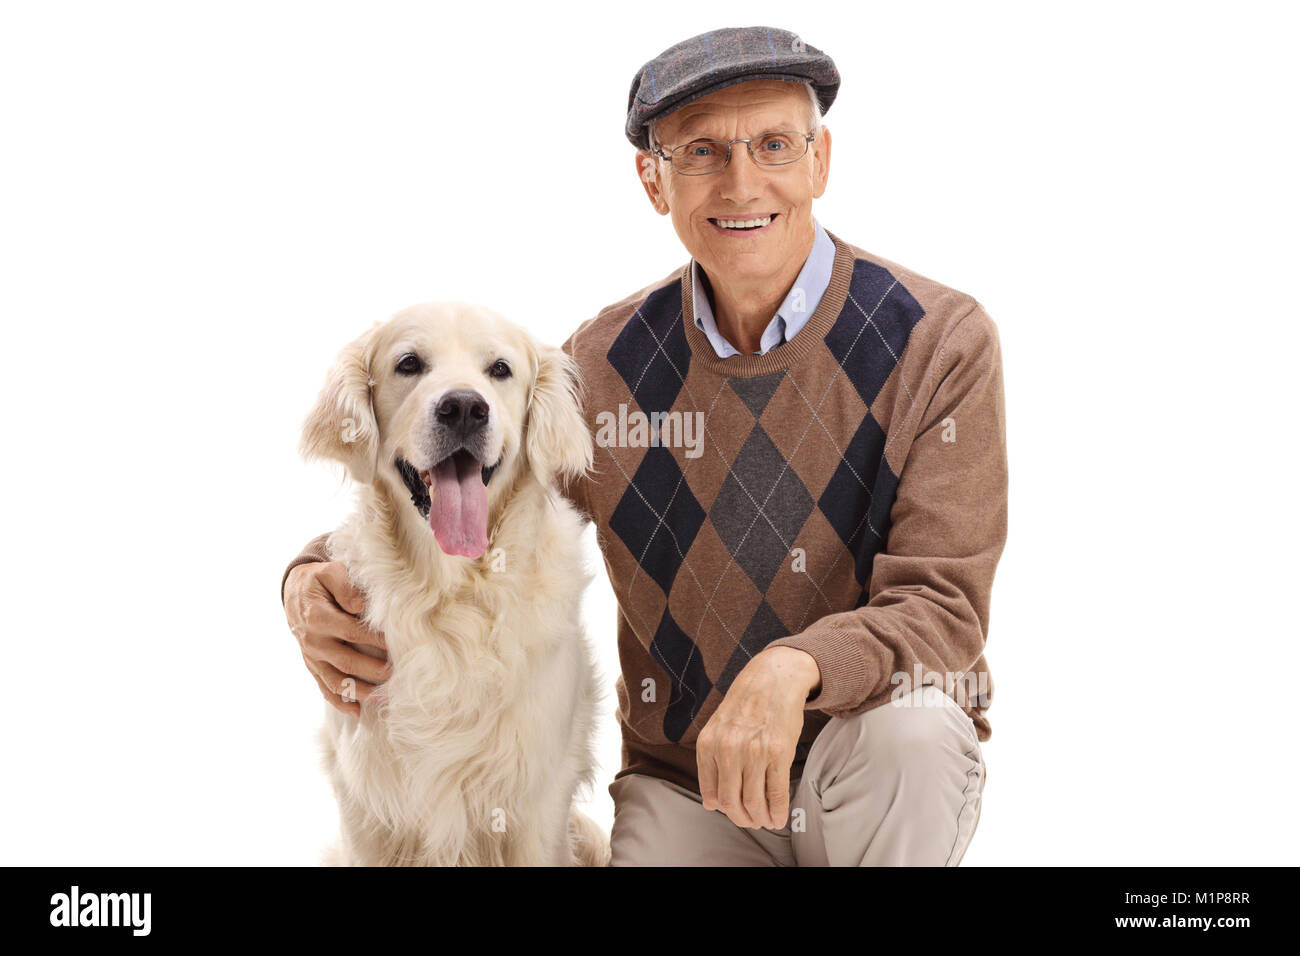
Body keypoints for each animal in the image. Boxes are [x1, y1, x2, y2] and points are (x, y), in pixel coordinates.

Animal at [300, 304, 608, 868]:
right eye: (408, 363)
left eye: (500, 370)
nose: (464, 407)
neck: (450, 594)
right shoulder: (366, 806)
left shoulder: (536, 807)